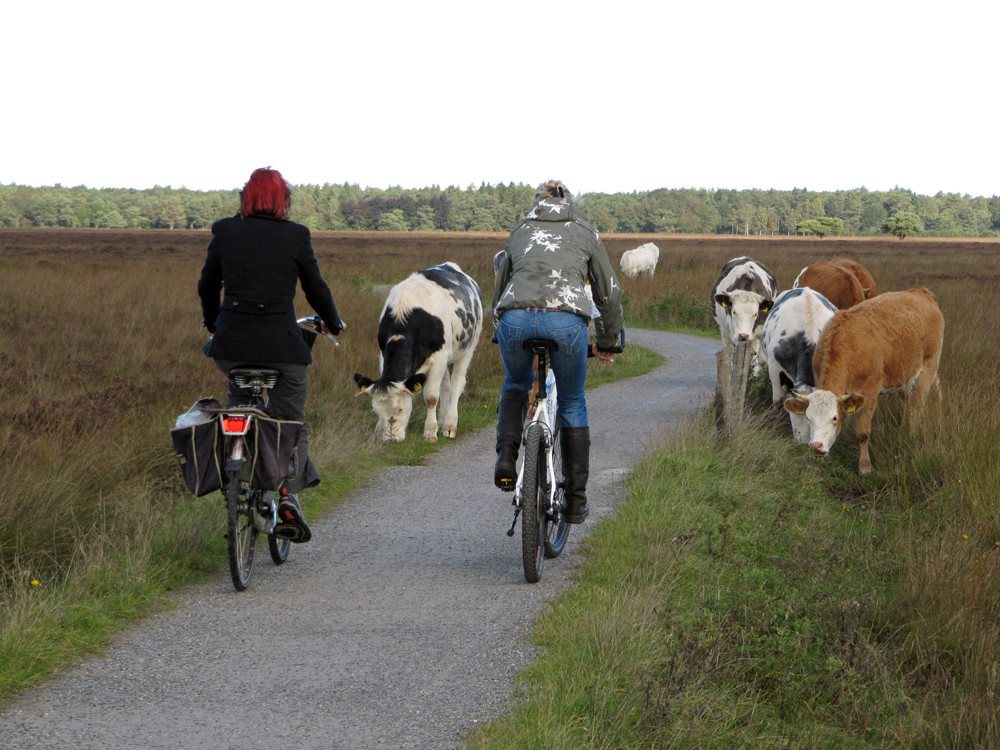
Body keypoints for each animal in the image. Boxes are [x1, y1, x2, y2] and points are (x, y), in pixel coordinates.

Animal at [354, 262, 482, 444]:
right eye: (376, 411)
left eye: (401, 409)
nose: (392, 439)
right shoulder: (383, 353)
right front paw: (379, 431)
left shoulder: (438, 357)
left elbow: (431, 397)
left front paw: (429, 433)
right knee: (445, 385)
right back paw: (442, 422)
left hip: (468, 348)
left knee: (457, 383)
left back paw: (450, 425)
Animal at [780, 290, 944, 476]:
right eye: (808, 417)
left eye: (834, 417)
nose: (816, 446)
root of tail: (921, 292)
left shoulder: (871, 391)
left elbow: (862, 431)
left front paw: (865, 466)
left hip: (927, 369)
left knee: (916, 409)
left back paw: (911, 436)